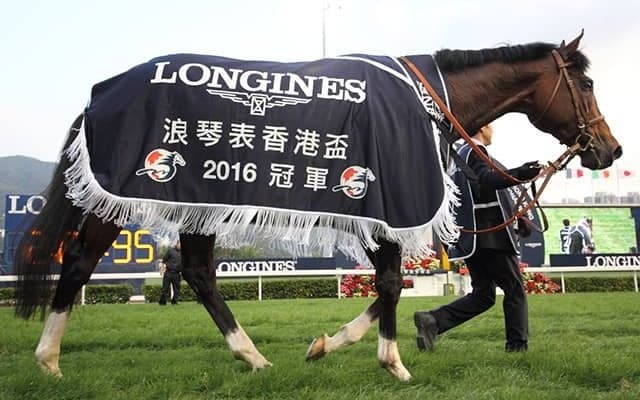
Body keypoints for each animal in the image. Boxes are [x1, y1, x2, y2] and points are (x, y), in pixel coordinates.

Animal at [14, 31, 621, 382]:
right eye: (588, 82)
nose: (609, 148)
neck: (426, 101)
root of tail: (103, 91)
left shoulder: (377, 211)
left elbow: (387, 285)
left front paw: (328, 344)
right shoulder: (387, 203)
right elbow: (391, 283)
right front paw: (393, 362)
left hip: (197, 202)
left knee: (199, 274)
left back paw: (252, 356)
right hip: (125, 196)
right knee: (81, 263)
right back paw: (48, 359)